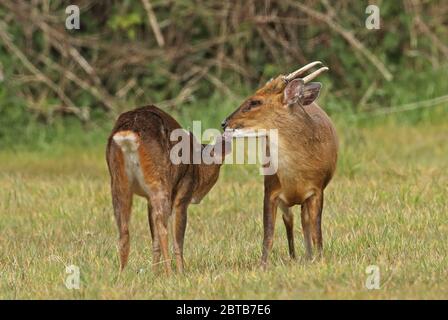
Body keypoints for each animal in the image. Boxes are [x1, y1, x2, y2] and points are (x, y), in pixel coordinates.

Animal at [107, 105, 229, 276]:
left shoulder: (148, 200)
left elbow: (154, 241)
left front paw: (154, 274)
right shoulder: (183, 192)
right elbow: (178, 241)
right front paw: (181, 273)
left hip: (118, 180)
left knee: (124, 231)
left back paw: (121, 275)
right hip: (160, 180)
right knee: (162, 229)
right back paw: (170, 273)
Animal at [222, 61, 338, 266]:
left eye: (255, 102)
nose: (224, 122)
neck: (297, 174)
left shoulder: (317, 190)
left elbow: (316, 231)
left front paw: (319, 259)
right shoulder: (271, 190)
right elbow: (268, 233)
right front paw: (263, 265)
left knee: (304, 221)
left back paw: (308, 256)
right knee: (290, 219)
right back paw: (294, 256)